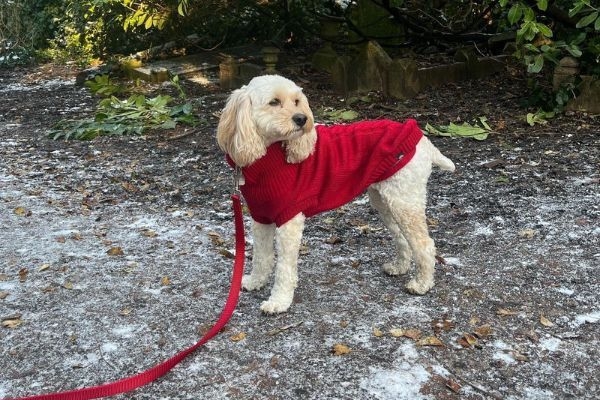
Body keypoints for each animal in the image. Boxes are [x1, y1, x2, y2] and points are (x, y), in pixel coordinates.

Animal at [217, 74, 454, 312]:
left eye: (297, 101)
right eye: (274, 102)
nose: (302, 119)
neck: (268, 156)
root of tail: (422, 139)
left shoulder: (289, 220)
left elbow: (284, 267)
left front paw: (279, 301)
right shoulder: (261, 217)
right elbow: (261, 256)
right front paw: (256, 281)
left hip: (404, 203)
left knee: (424, 244)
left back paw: (422, 284)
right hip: (386, 202)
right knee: (401, 236)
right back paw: (399, 266)